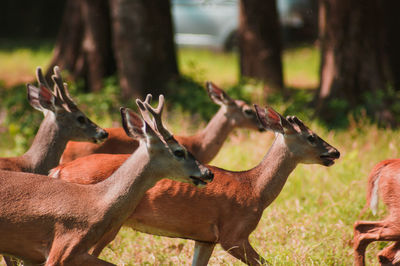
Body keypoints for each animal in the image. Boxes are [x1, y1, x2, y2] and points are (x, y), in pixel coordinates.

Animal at [48, 103, 340, 264]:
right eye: (312, 136)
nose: (335, 152)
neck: (254, 188)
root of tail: (58, 170)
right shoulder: (233, 234)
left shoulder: (205, 238)